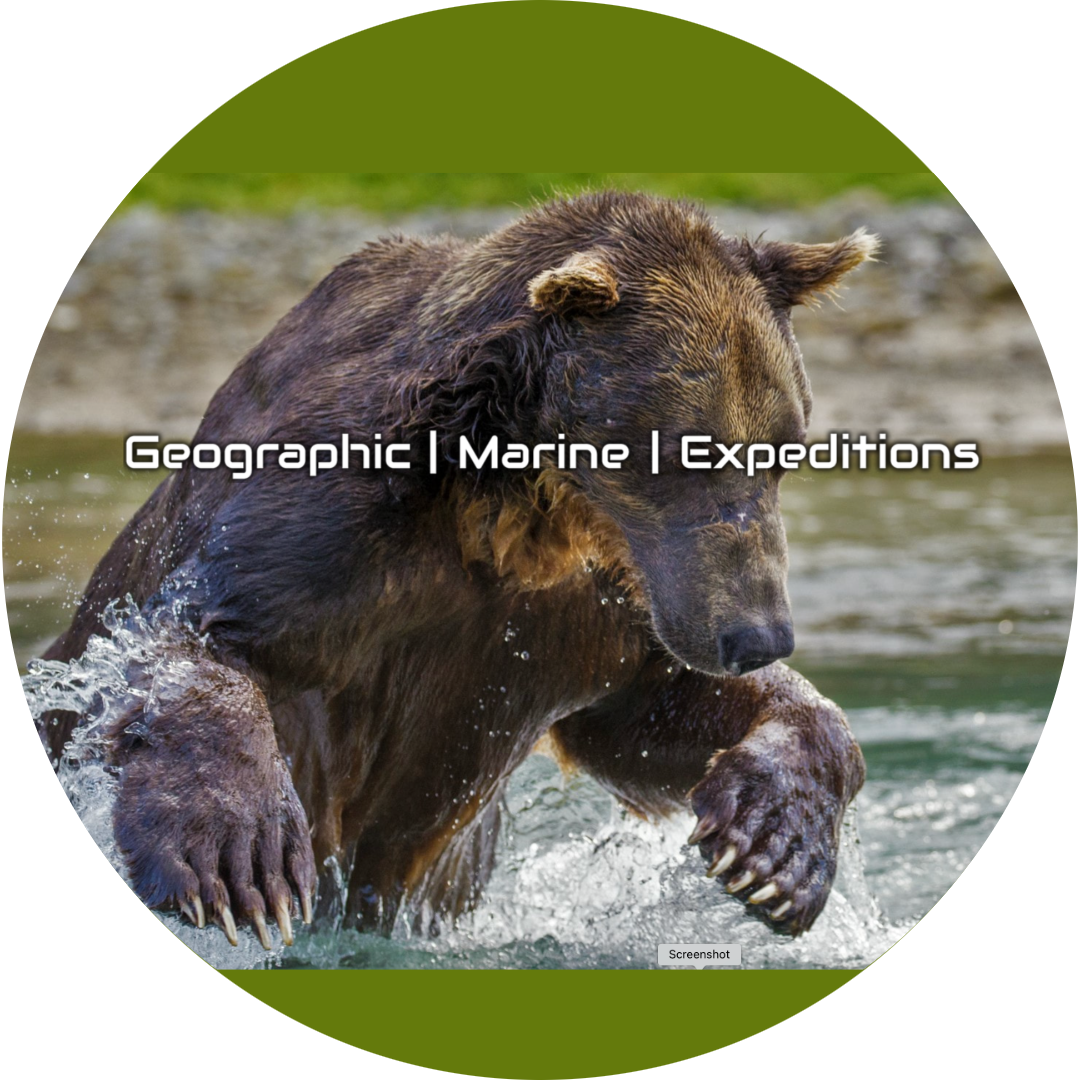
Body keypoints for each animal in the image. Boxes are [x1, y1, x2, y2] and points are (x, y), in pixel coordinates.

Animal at [38, 191, 872, 949]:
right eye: (685, 452)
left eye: (785, 449)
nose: (759, 634)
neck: (515, 512)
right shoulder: (331, 524)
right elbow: (185, 633)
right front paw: (237, 857)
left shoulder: (595, 606)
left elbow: (655, 707)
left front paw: (775, 849)